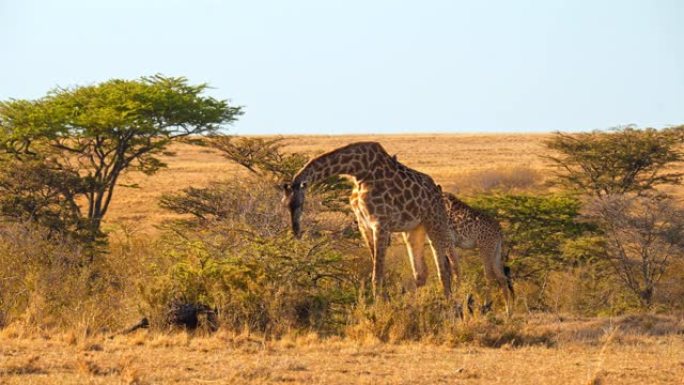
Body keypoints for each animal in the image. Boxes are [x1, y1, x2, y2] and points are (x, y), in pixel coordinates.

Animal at [280, 141, 456, 296]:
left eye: (298, 204)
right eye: (285, 204)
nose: (296, 231)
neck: (358, 172)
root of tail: (438, 191)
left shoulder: (381, 223)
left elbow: (377, 276)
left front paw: (379, 307)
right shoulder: (364, 224)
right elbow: (377, 271)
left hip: (435, 222)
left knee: (444, 268)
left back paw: (449, 304)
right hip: (413, 229)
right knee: (421, 272)